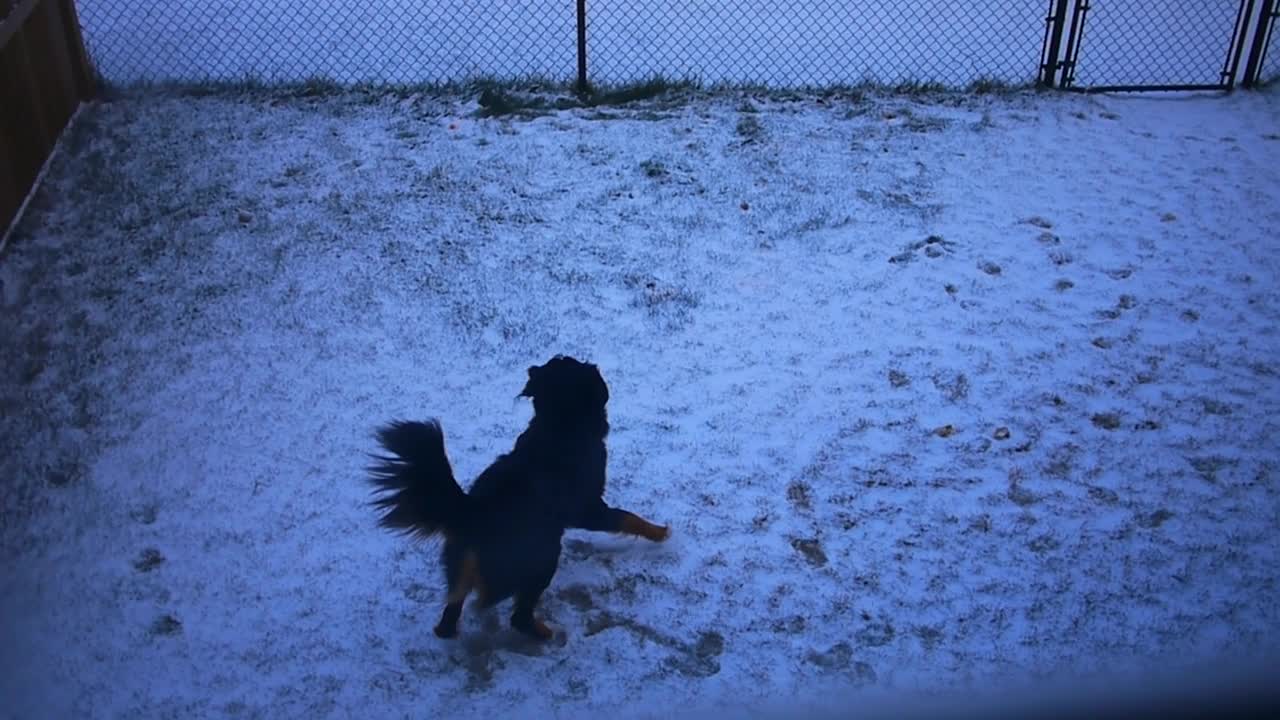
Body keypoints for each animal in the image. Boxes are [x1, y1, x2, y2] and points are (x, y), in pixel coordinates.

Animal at [366, 351, 670, 635]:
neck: (561, 425)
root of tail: (470, 513)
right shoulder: (588, 510)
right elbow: (628, 518)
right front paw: (660, 532)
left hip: (461, 564)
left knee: (452, 609)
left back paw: (449, 630)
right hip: (544, 555)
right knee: (518, 616)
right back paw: (542, 632)